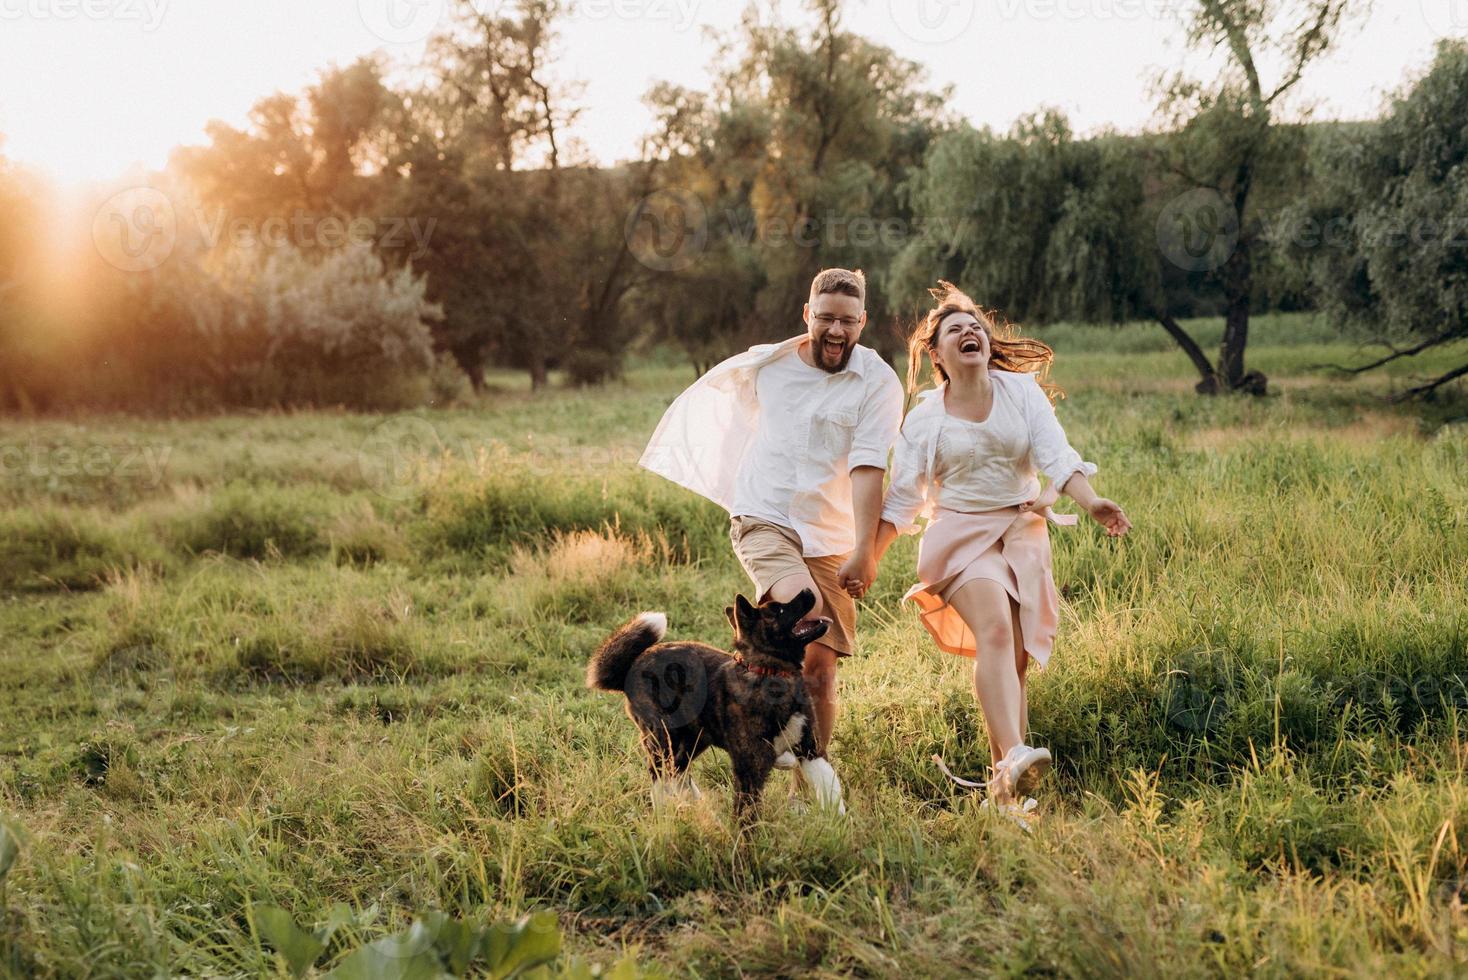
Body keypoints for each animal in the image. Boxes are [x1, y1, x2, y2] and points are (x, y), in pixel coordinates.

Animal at [581, 589, 845, 821]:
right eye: (779, 610)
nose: (808, 590)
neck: (771, 673)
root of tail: (631, 666)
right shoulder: (748, 769)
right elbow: (746, 818)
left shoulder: (811, 749)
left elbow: (832, 790)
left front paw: (841, 827)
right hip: (663, 741)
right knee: (659, 777)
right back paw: (664, 815)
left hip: (693, 739)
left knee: (677, 772)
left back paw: (696, 805)